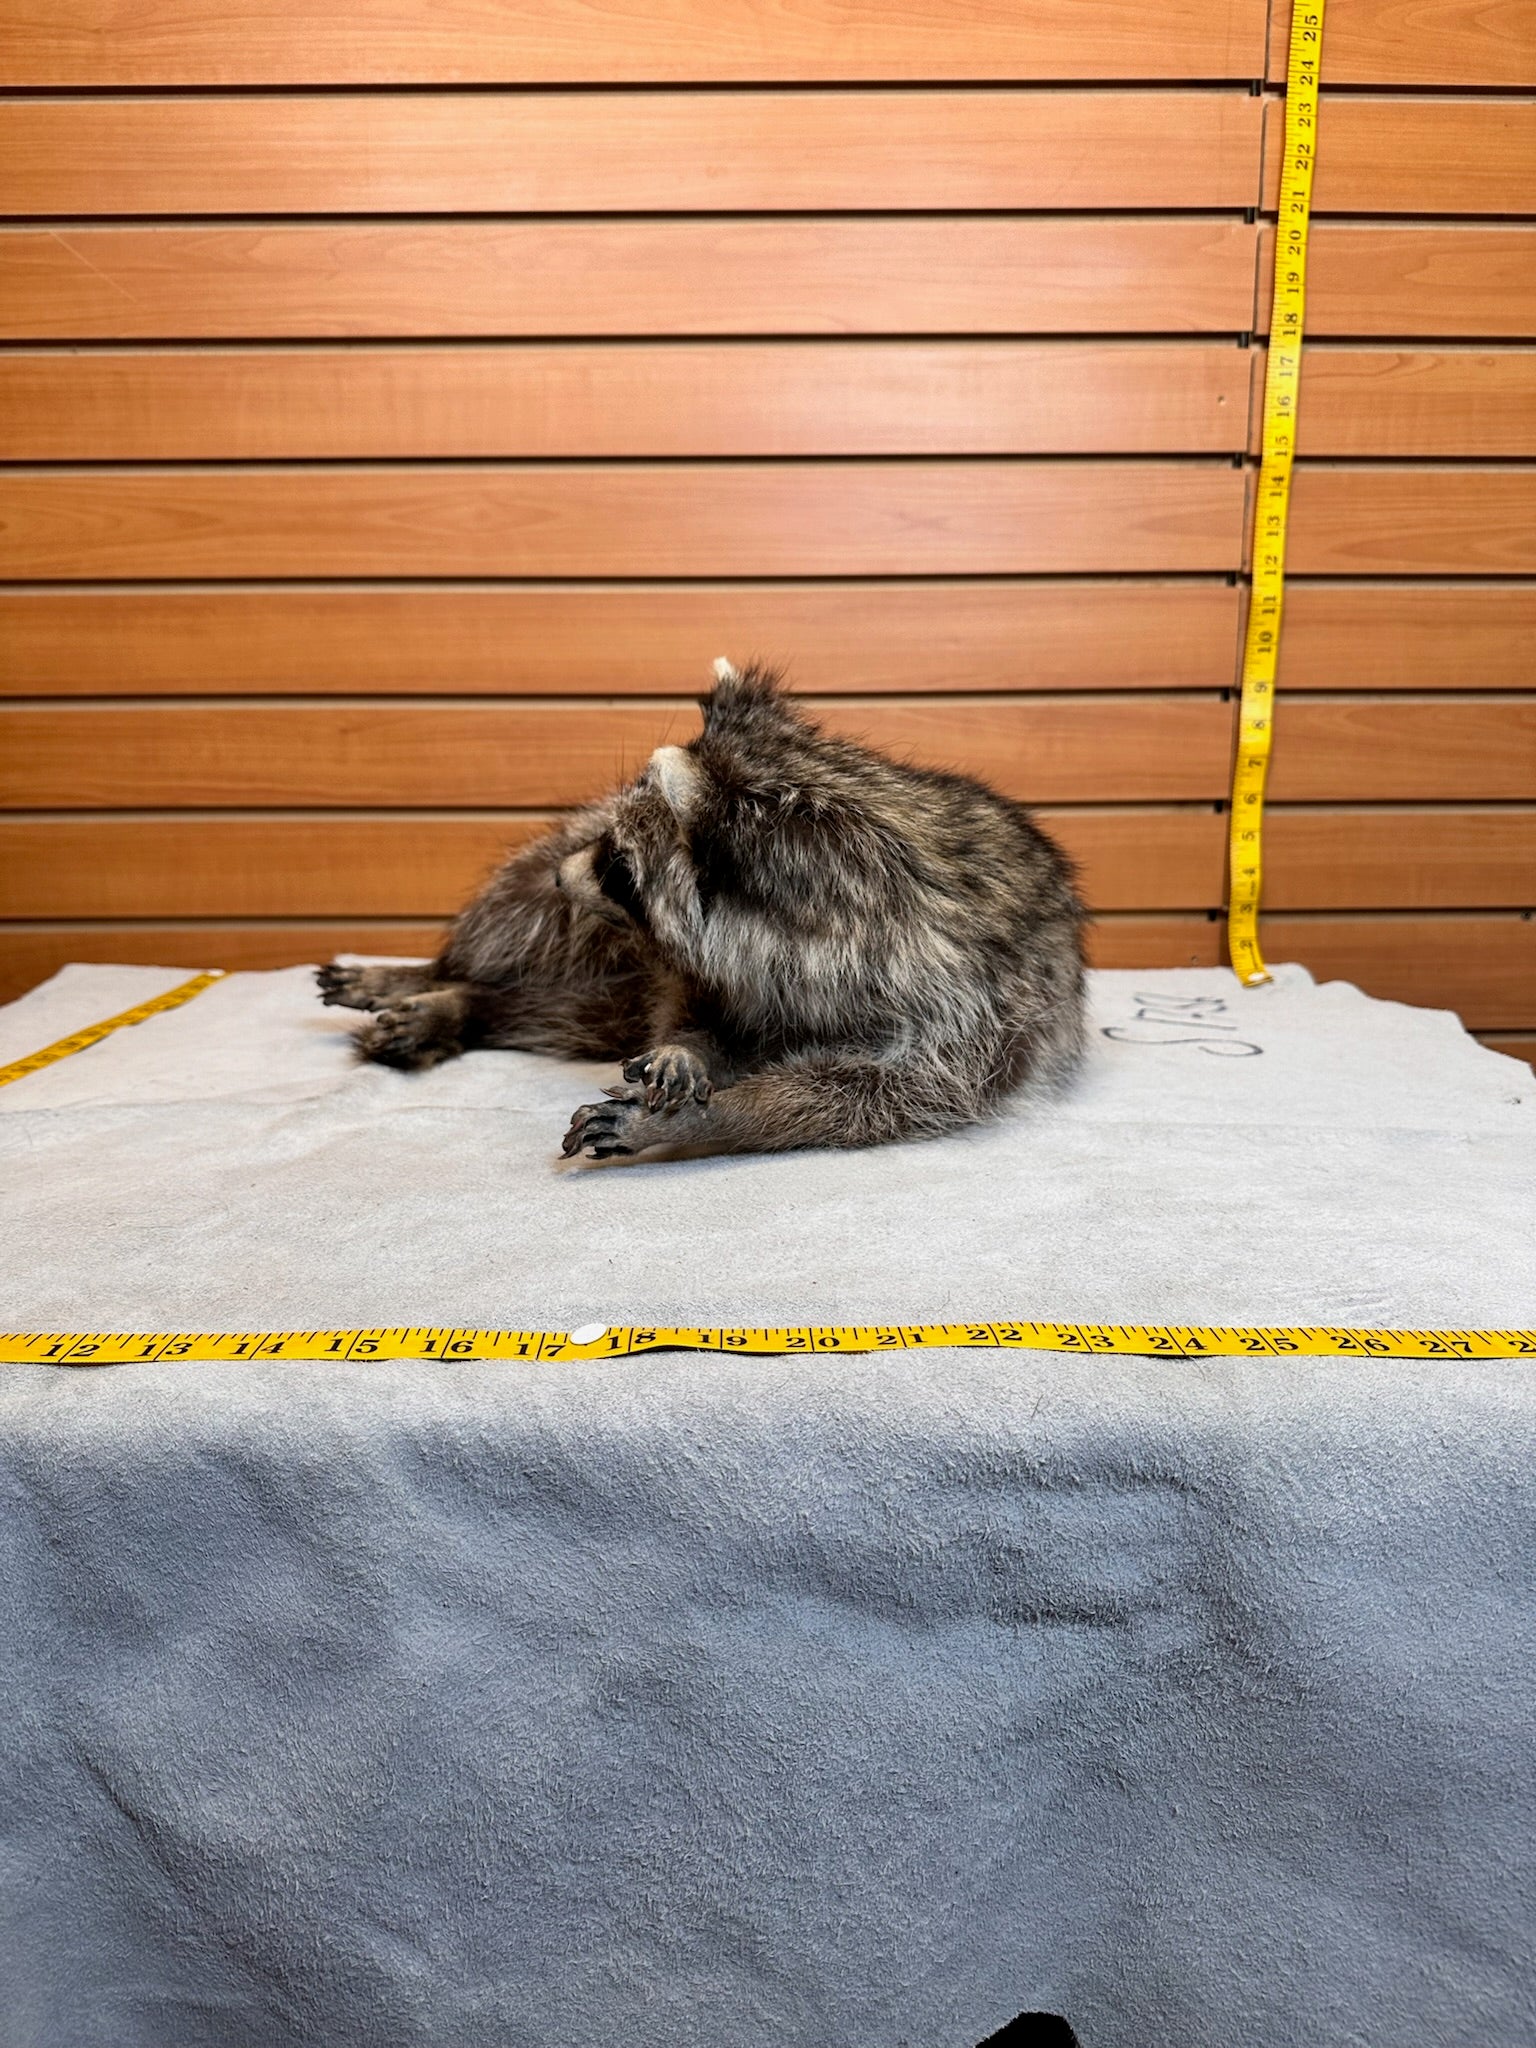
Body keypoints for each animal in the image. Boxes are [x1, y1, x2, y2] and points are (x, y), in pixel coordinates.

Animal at [317, 661, 1086, 1158]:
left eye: (620, 863)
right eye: (612, 840)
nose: (564, 877)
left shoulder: (970, 1006)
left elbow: (877, 1096)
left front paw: (728, 1116)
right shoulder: (685, 955)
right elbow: (687, 1000)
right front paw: (688, 1048)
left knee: (580, 1013)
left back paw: (470, 1003)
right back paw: (444, 982)